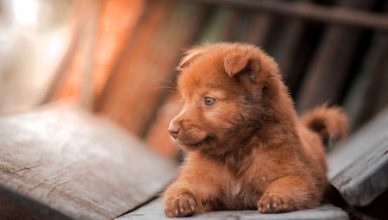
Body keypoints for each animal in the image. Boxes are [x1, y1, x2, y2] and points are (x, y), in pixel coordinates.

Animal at [162, 42, 348, 217]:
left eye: (208, 101)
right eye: (185, 100)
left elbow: (284, 184)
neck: (235, 153)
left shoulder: (298, 177)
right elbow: (181, 187)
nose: (171, 130)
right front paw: (179, 201)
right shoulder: (197, 179)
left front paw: (274, 198)